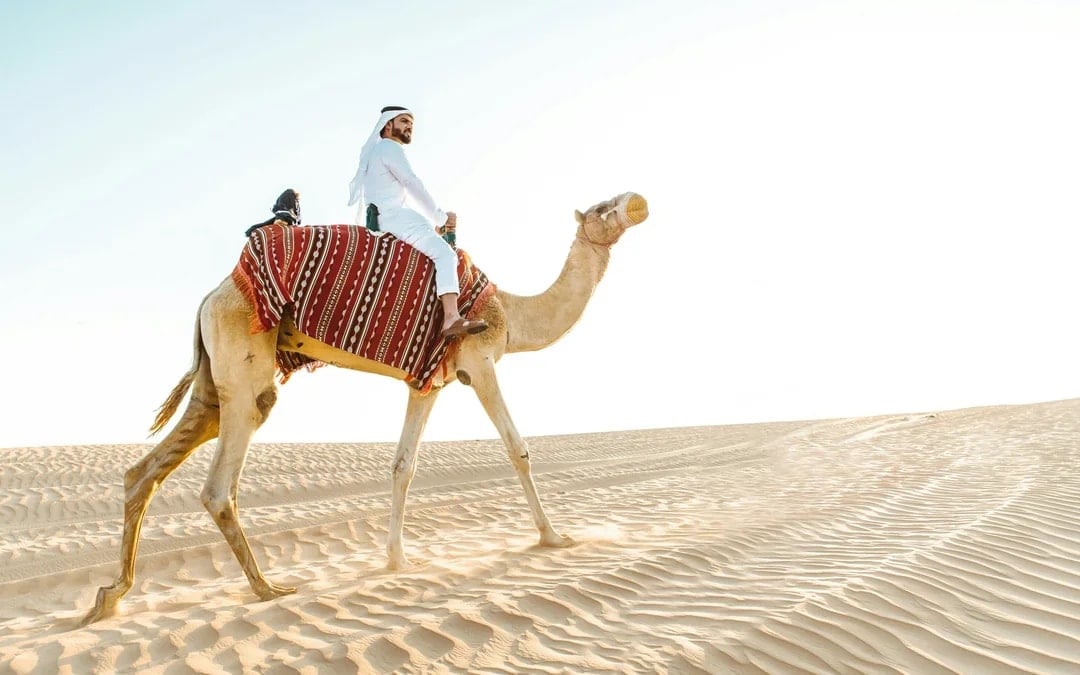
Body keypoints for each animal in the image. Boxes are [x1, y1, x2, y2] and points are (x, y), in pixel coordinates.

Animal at [82, 191, 649, 624]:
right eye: (602, 208)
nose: (635, 202)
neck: (510, 311)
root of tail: (209, 295)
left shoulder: (427, 384)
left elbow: (403, 465)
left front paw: (397, 559)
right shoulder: (479, 362)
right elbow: (518, 448)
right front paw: (554, 537)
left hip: (212, 382)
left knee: (146, 470)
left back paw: (110, 596)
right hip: (244, 367)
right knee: (220, 483)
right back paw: (267, 588)